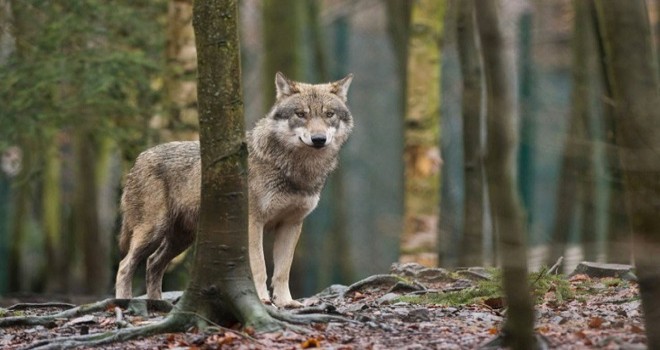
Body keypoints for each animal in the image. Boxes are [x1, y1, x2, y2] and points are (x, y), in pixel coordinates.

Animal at [114, 72, 354, 308]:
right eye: (301, 114)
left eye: (329, 114)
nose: (319, 139)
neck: (295, 169)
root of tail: (139, 159)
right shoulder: (253, 222)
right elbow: (259, 267)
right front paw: (262, 300)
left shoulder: (291, 224)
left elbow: (282, 271)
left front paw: (286, 302)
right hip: (153, 231)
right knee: (125, 265)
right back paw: (125, 302)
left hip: (182, 239)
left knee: (153, 263)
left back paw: (157, 303)